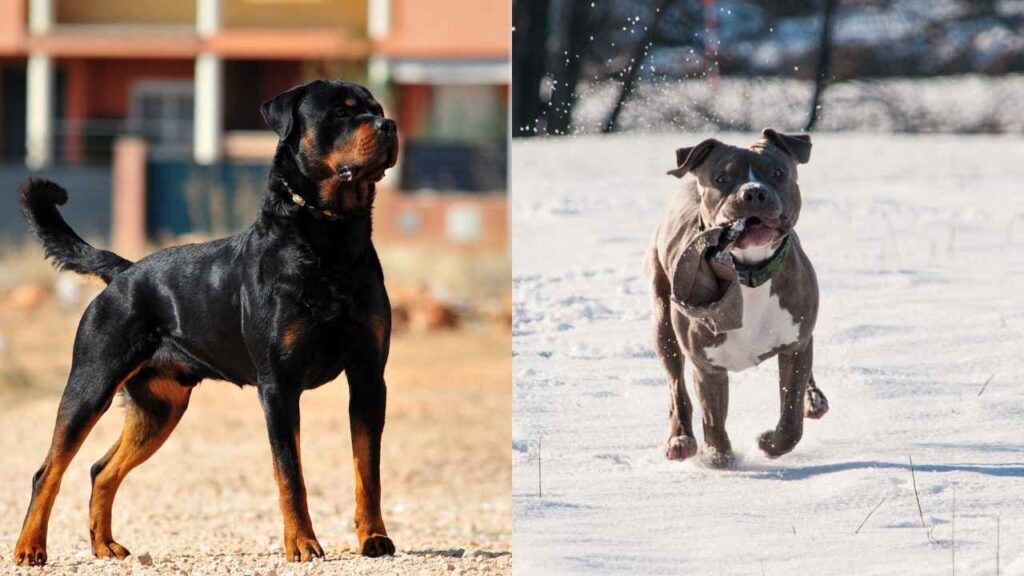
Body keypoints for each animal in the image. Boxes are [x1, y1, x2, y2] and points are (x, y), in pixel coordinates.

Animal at [17, 78, 399, 561]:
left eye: (377, 108)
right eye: (342, 112)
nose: (390, 125)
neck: (331, 238)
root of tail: (124, 272)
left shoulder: (368, 377)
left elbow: (368, 469)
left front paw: (374, 538)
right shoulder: (278, 386)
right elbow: (290, 475)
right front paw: (302, 543)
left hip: (160, 408)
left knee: (101, 469)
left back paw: (104, 545)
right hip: (90, 383)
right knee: (48, 470)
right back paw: (30, 548)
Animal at [651, 129, 827, 467]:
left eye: (778, 173)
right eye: (722, 178)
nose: (754, 193)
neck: (749, 273)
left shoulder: (795, 345)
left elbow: (791, 420)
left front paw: (769, 443)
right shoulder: (708, 365)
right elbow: (713, 418)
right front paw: (717, 456)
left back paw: (813, 399)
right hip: (663, 323)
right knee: (676, 386)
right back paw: (680, 439)